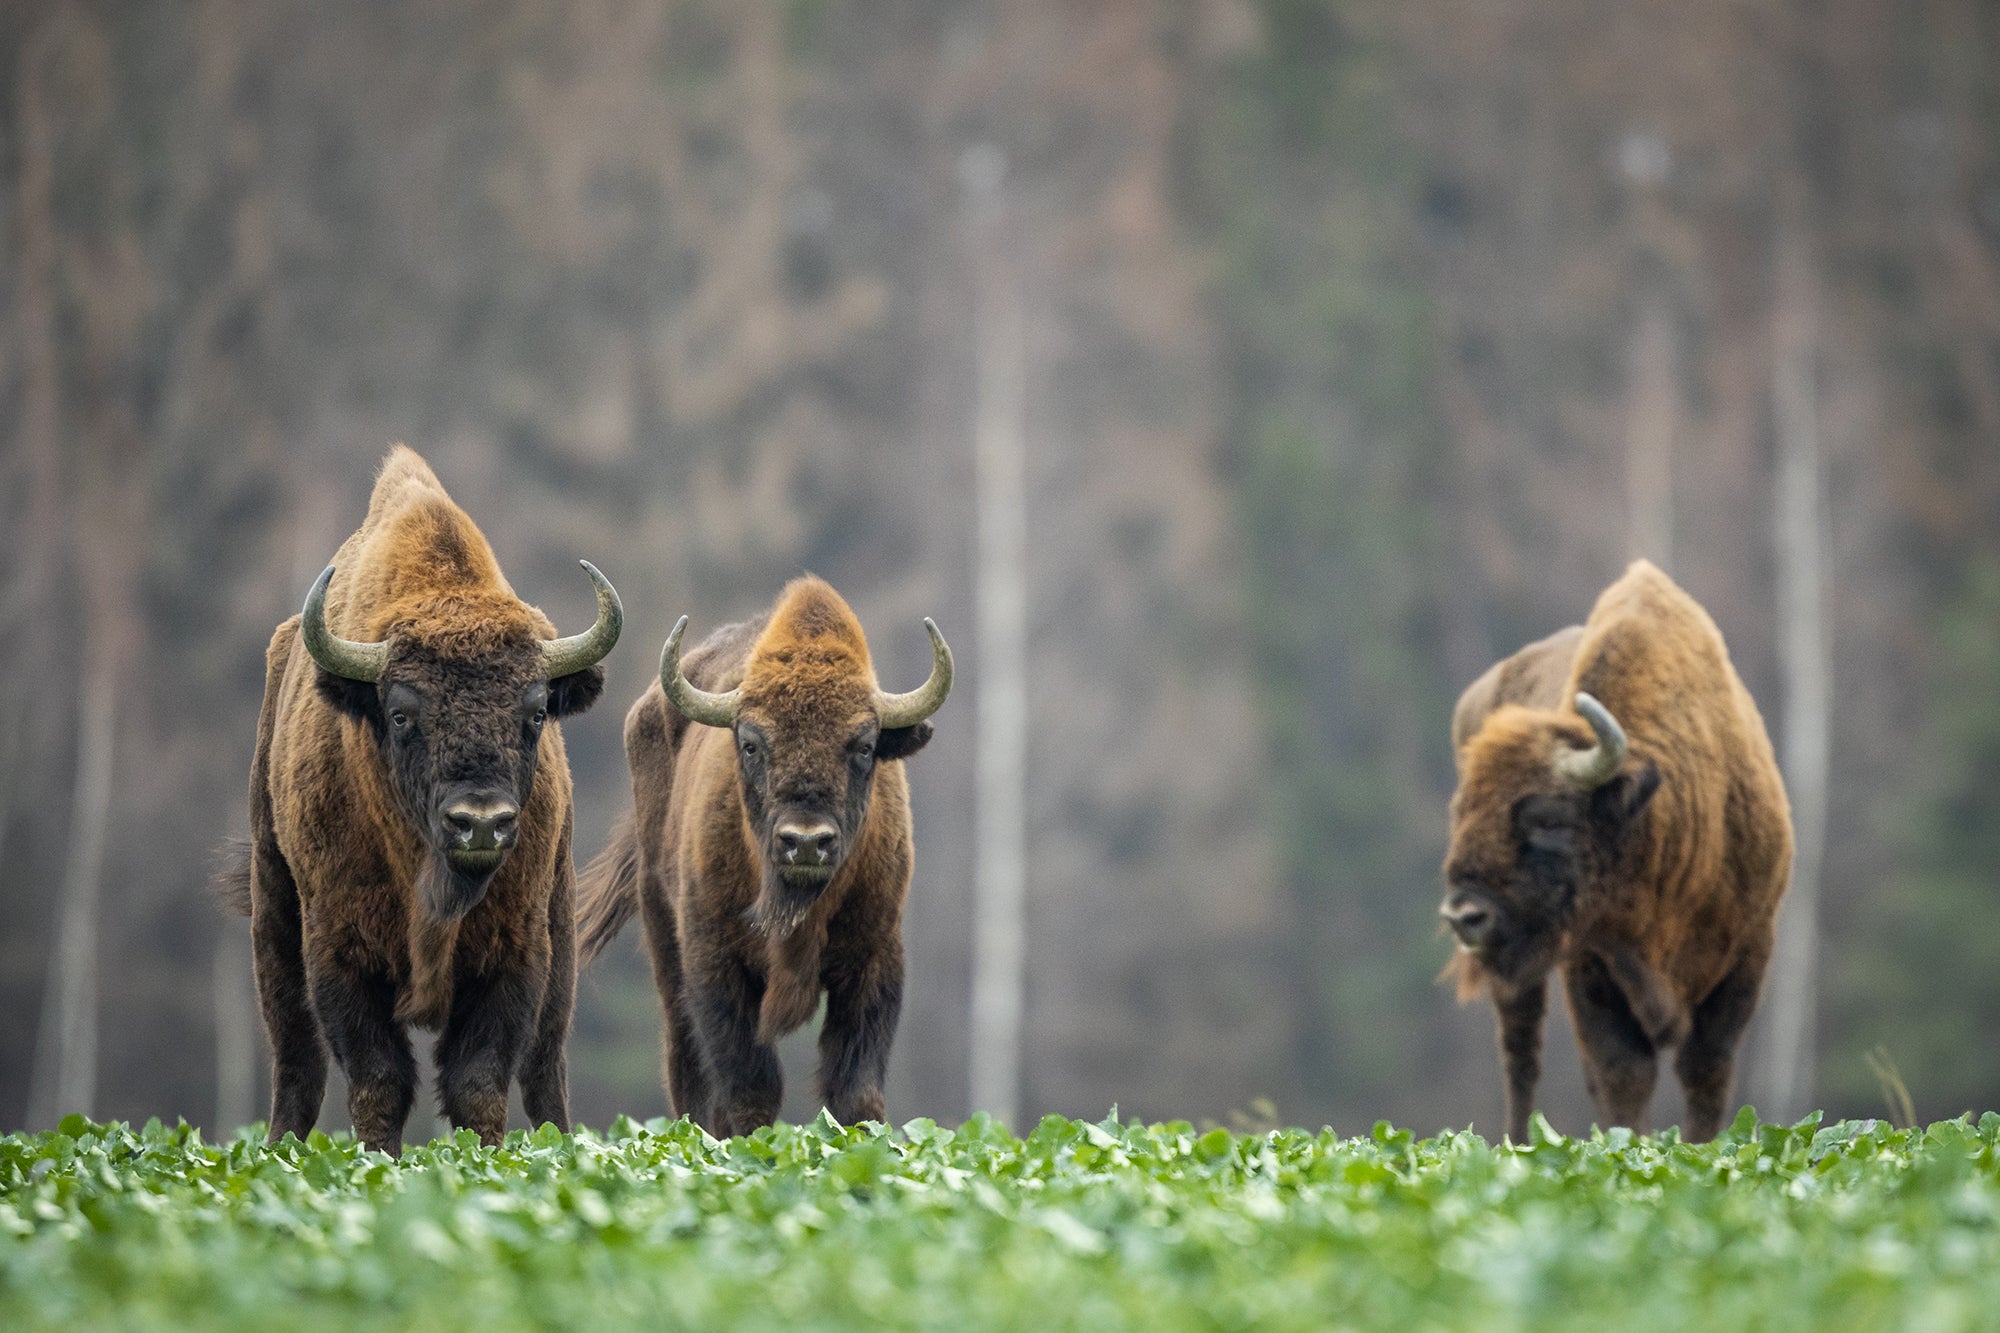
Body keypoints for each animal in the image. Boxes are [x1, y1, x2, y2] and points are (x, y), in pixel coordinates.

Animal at [219, 440, 616, 1144]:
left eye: (537, 711)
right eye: (402, 714)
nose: (480, 822)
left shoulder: (515, 953)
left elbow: (479, 1083)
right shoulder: (341, 953)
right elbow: (379, 1080)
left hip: (561, 929)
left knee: (547, 1067)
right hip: (275, 912)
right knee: (296, 1059)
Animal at [580, 572, 952, 1128]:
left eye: (864, 746)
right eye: (752, 744)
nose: (806, 842)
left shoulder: (874, 957)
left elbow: (855, 1090)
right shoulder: (714, 961)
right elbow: (749, 1086)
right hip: (665, 939)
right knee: (685, 1064)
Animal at [1440, 556, 1800, 1136]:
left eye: (1548, 818)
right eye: (1461, 813)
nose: (1463, 916)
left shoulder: (1750, 948)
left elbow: (1706, 1068)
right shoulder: (1591, 962)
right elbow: (1623, 1072)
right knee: (1521, 1055)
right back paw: (1513, 1145)